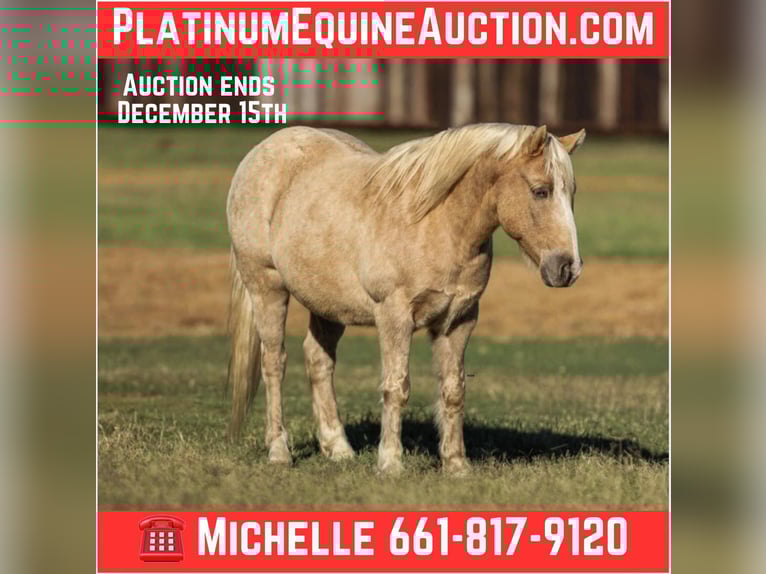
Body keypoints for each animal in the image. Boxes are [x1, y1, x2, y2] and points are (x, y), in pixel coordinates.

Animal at [226, 123, 585, 475]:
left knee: (318, 360)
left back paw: (338, 448)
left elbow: (453, 390)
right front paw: (390, 463)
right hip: (267, 288)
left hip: (327, 305)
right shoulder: (395, 317)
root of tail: (262, 151)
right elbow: (396, 387)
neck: (436, 223)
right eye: (540, 191)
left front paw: (456, 465)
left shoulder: (458, 321)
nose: (568, 268)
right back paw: (279, 451)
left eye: (571, 193)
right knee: (274, 363)